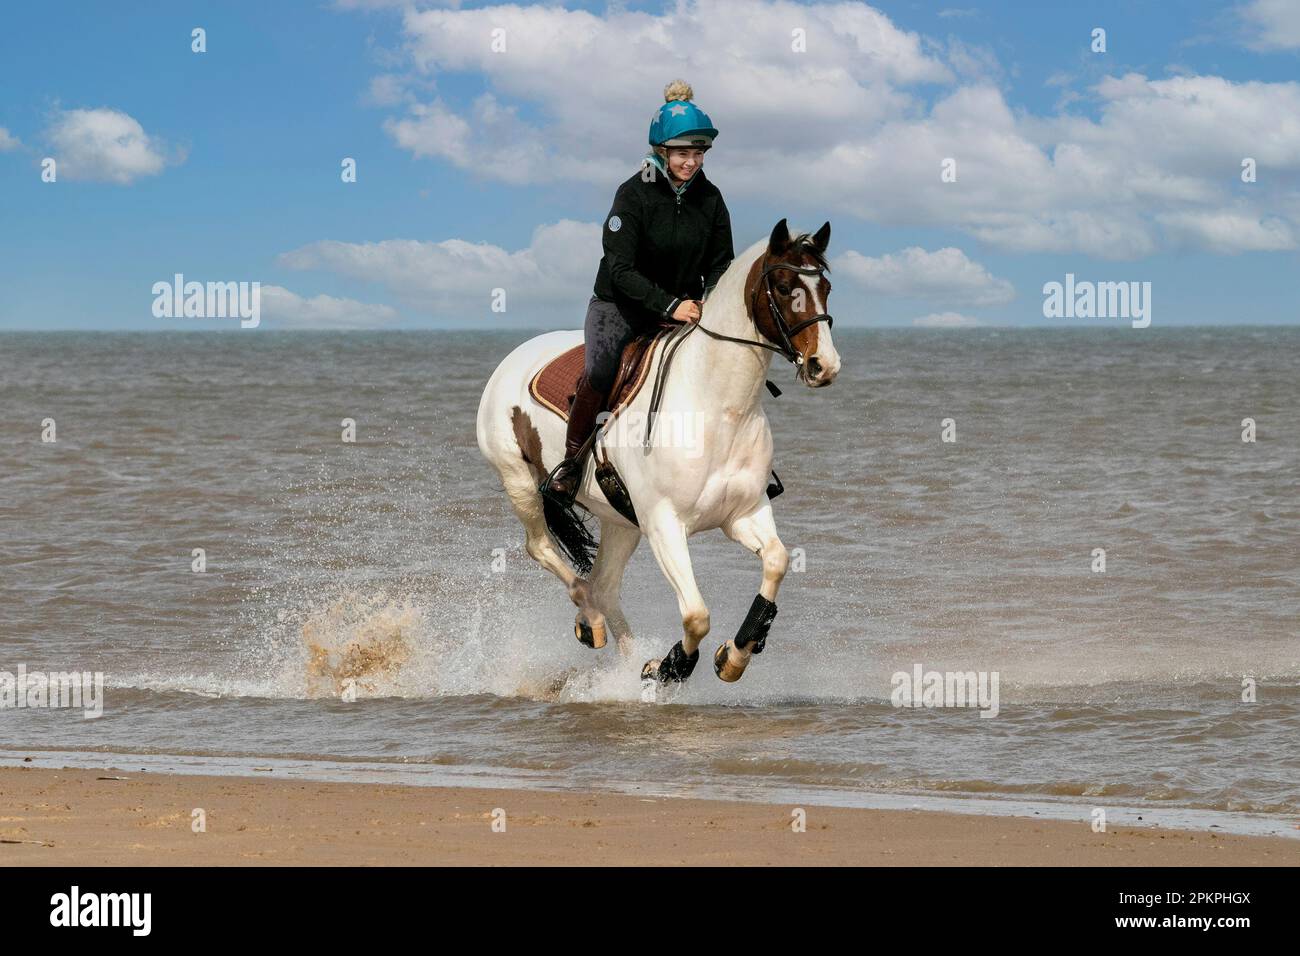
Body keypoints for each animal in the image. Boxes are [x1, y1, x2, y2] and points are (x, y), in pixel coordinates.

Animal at [478, 221, 842, 691]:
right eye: (783, 288)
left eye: (826, 287)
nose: (824, 366)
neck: (718, 407)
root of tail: (514, 357)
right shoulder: (664, 525)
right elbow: (697, 615)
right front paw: (670, 667)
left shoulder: (743, 514)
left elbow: (777, 563)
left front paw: (734, 656)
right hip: (520, 482)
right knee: (545, 551)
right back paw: (591, 621)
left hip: (619, 521)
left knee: (604, 584)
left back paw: (621, 661)